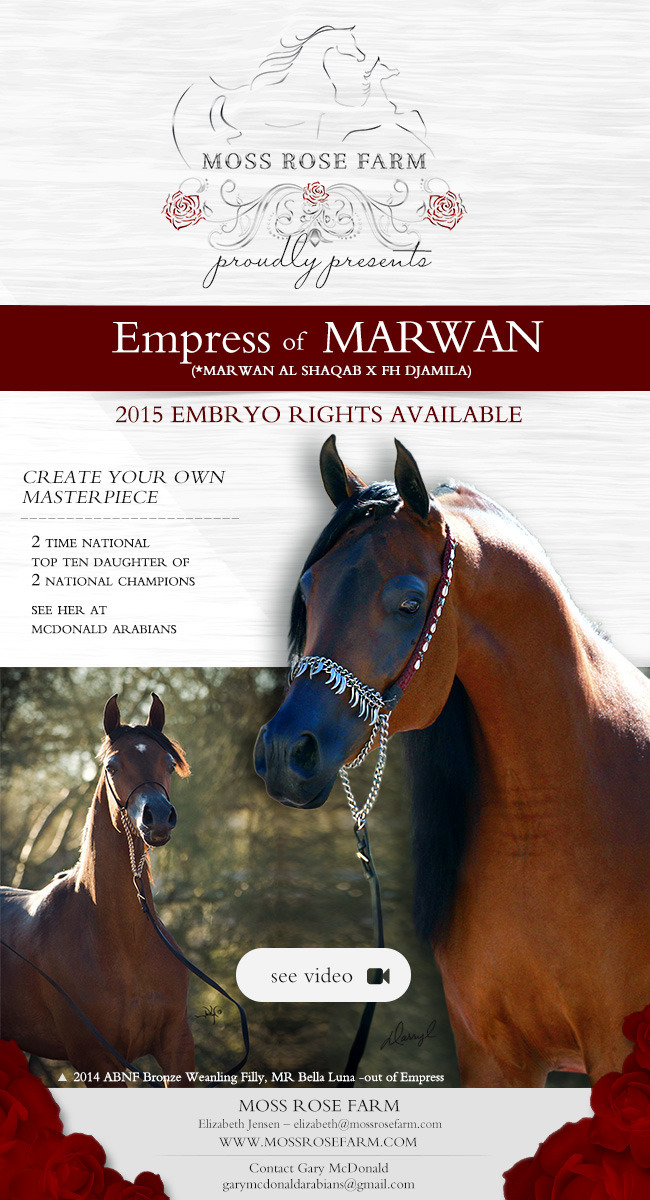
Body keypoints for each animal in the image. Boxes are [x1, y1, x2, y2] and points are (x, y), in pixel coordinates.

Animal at [0, 694, 195, 1088]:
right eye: (112, 766)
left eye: (168, 763)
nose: (158, 816)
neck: (124, 940)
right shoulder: (97, 1058)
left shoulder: (177, 1046)